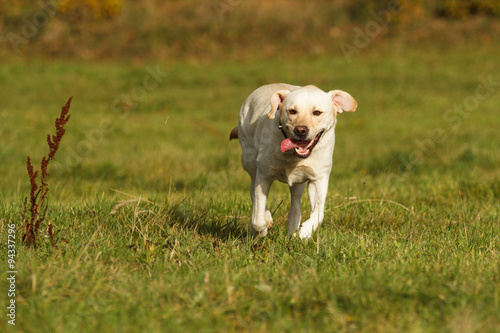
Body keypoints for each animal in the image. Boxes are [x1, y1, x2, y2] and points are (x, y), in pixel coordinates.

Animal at [229, 83, 358, 239]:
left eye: (317, 112)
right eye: (292, 111)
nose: (301, 130)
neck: (293, 156)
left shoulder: (318, 178)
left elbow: (318, 212)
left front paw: (303, 233)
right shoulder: (264, 175)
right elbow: (258, 214)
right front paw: (261, 229)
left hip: (298, 183)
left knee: (295, 206)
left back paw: (293, 231)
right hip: (250, 160)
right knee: (253, 189)